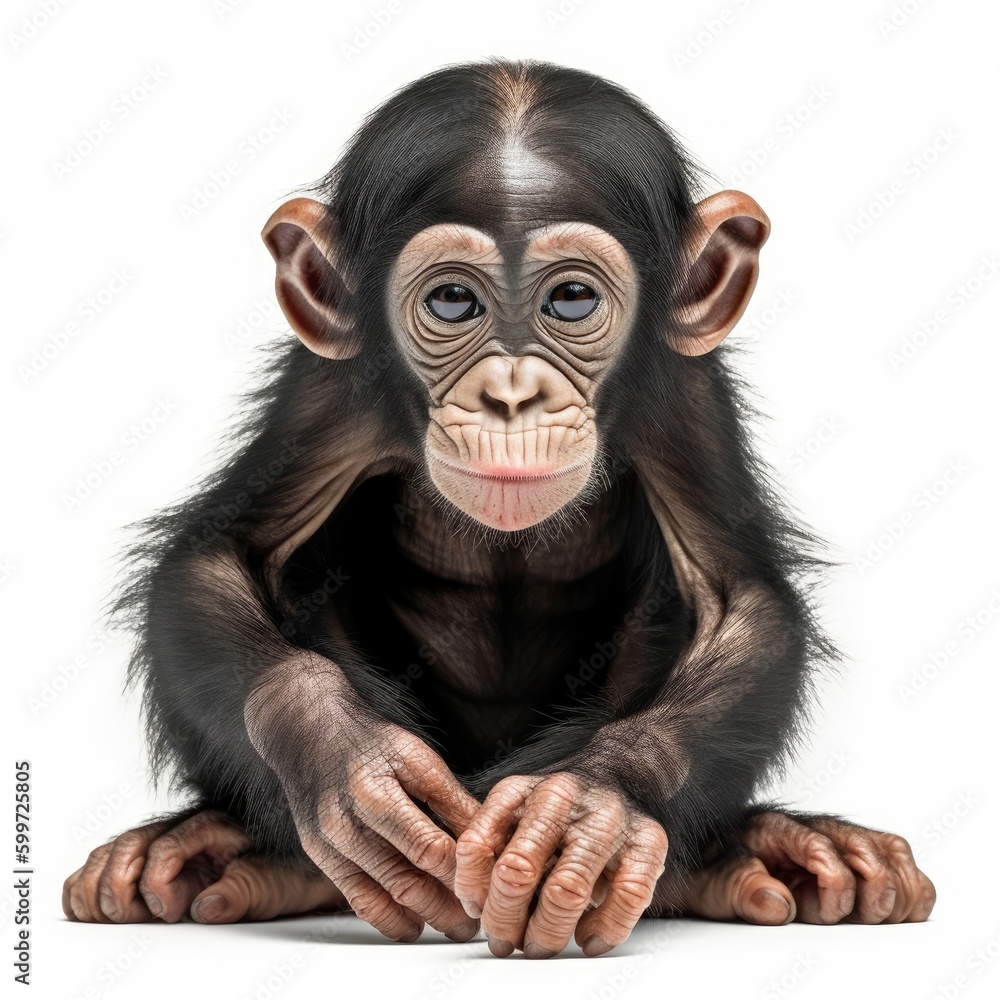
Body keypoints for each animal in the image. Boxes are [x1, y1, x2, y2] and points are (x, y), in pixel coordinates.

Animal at [63, 58, 935, 958]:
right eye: (452, 303)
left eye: (572, 300)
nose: (511, 394)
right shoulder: (329, 390)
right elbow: (229, 554)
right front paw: (346, 758)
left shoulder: (686, 393)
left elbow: (735, 597)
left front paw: (593, 809)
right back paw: (231, 852)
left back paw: (762, 854)